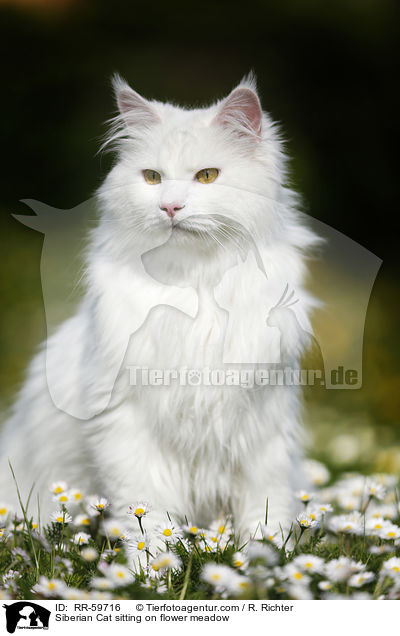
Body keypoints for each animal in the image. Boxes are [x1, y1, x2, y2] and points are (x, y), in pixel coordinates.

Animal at [0, 73, 318, 552]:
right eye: (152, 178)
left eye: (207, 176)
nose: (170, 207)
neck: (196, 285)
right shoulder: (129, 426)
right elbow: (145, 514)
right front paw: (147, 565)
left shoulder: (263, 429)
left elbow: (267, 508)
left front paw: (267, 557)